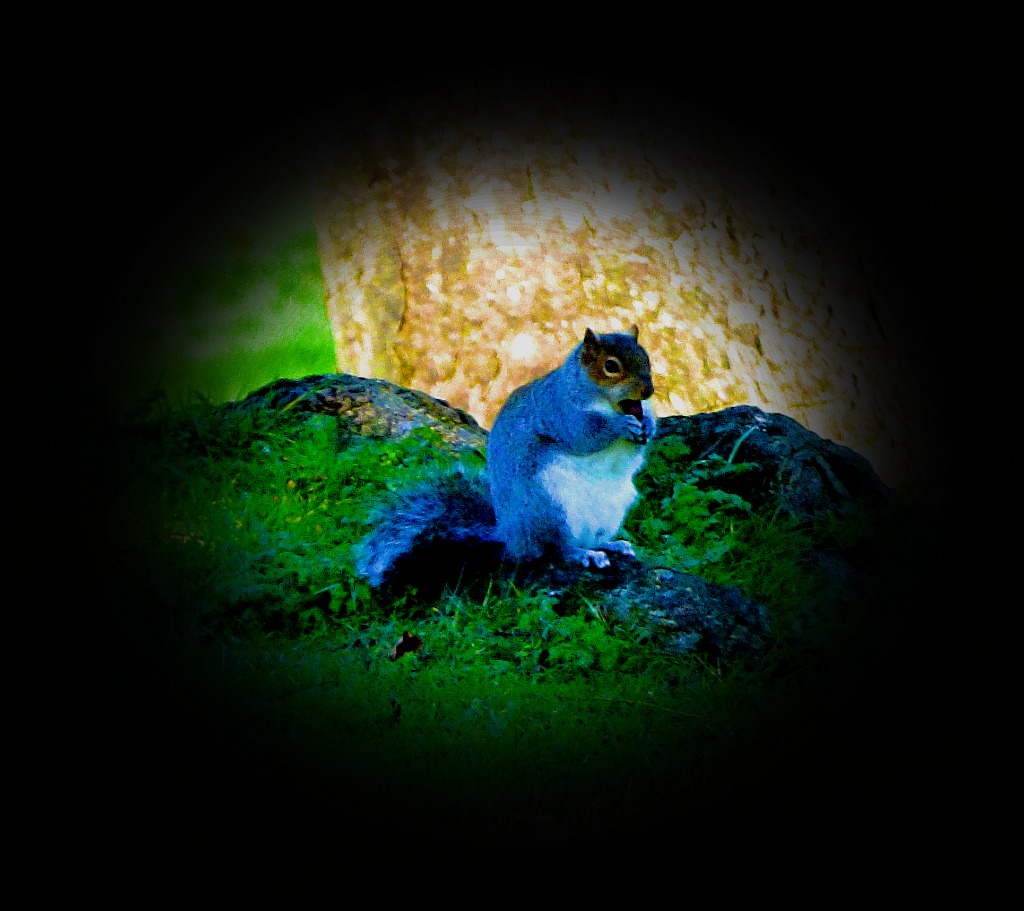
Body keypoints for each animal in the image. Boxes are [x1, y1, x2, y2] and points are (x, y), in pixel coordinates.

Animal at [355, 325, 657, 590]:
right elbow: (584, 435)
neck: (605, 402)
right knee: (553, 549)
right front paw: (620, 425)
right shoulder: (560, 411)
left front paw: (649, 424)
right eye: (611, 366)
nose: (648, 391)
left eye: (646, 359)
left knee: (588, 539)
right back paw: (582, 554)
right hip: (547, 507)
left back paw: (611, 545)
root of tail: (510, 536)